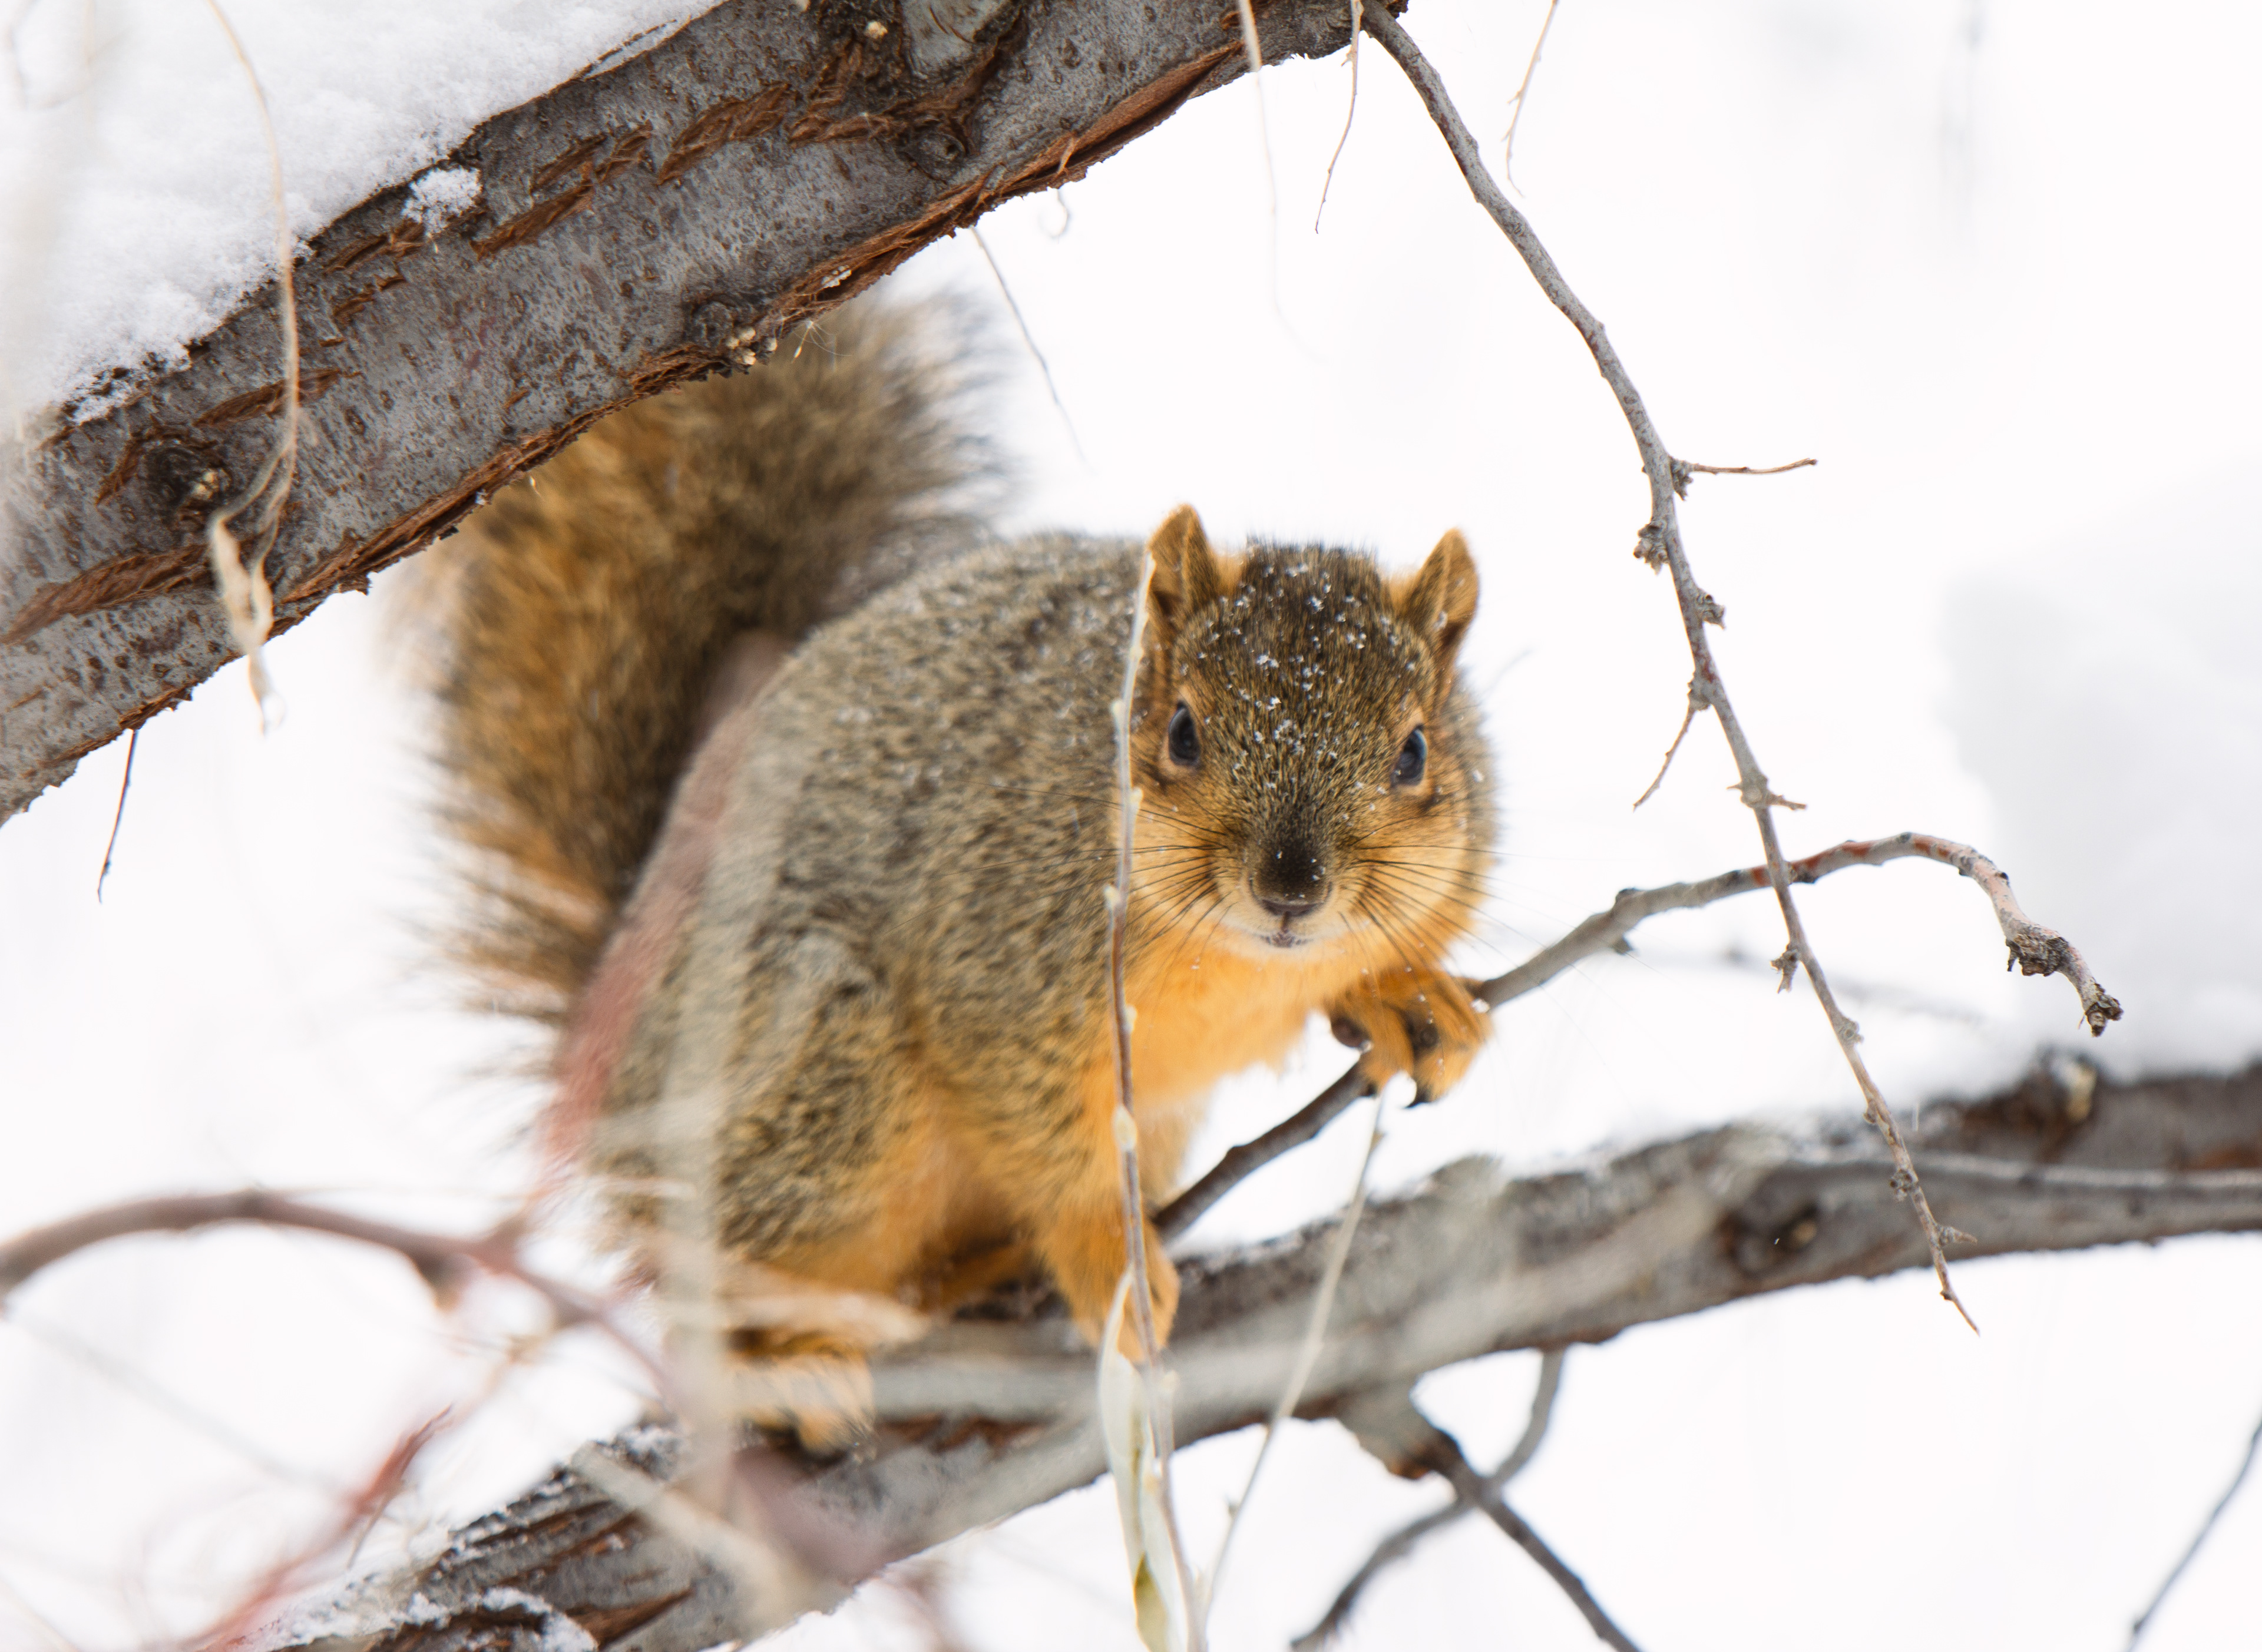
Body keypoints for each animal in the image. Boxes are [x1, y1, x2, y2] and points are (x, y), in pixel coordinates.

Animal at [422, 303, 1498, 1446]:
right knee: (708, 1297)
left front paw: (1407, 996)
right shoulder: (999, 965)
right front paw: (1108, 1258)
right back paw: (787, 1366)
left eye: (1417, 752)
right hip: (808, 1072)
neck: (1242, 962)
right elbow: (1043, 1137)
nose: (1292, 887)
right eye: (1182, 732)